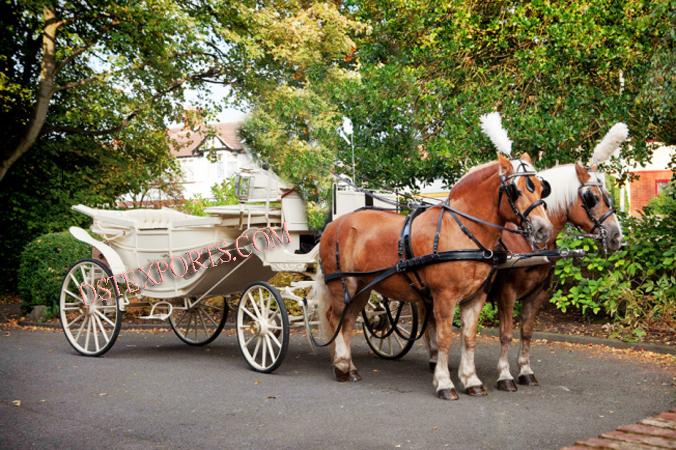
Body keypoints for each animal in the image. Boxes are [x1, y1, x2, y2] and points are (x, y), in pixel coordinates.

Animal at [314, 152, 552, 400]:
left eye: (540, 188)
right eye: (516, 190)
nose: (543, 230)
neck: (460, 230)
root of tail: (334, 224)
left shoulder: (476, 297)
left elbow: (469, 337)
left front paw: (471, 380)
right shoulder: (444, 296)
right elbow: (444, 338)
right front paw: (444, 383)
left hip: (363, 288)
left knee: (348, 321)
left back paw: (349, 368)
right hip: (344, 285)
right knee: (335, 319)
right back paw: (341, 366)